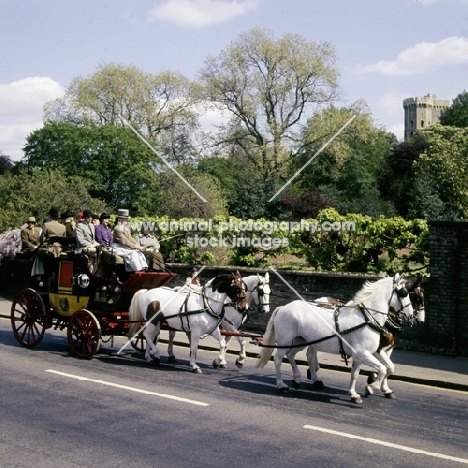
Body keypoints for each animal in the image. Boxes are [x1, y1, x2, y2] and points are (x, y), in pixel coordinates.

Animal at [256, 276, 414, 404]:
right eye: (403, 293)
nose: (411, 316)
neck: (366, 319)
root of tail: (283, 307)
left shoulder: (362, 354)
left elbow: (356, 373)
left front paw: (354, 394)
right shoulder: (363, 353)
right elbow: (382, 368)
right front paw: (370, 387)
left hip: (300, 341)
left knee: (290, 355)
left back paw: (297, 379)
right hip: (285, 340)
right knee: (278, 359)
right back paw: (282, 385)